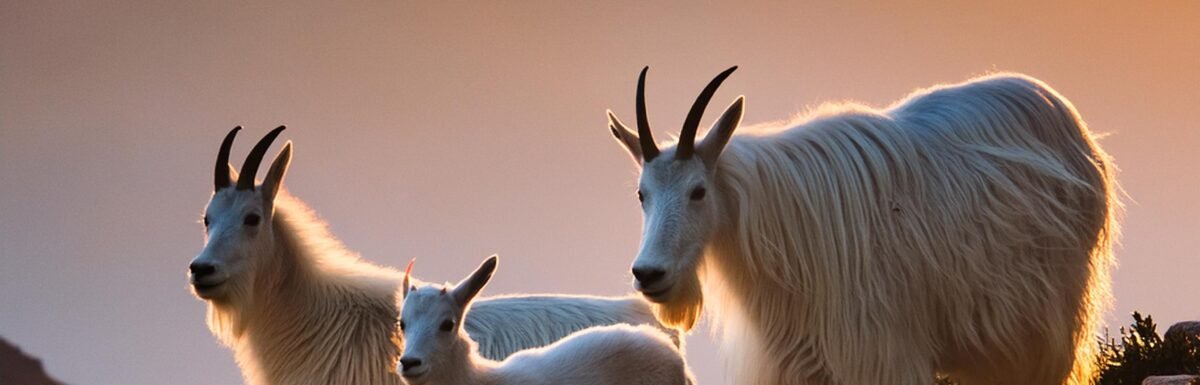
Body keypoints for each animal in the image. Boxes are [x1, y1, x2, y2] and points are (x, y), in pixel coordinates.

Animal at [604, 66, 1118, 383]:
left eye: (698, 191)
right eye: (642, 194)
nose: (649, 274)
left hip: (1051, 329)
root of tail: (1062, 113)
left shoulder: (881, 357)